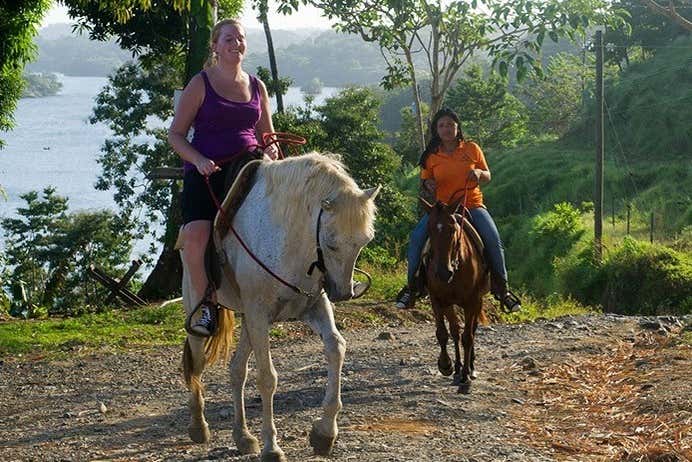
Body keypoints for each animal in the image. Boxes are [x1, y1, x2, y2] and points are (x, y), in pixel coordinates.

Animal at [180, 152, 379, 462]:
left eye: (364, 241)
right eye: (332, 244)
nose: (343, 292)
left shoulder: (312, 306)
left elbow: (336, 348)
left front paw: (324, 433)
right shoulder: (259, 314)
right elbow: (267, 378)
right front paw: (272, 447)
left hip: (249, 321)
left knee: (237, 370)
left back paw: (243, 436)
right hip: (207, 317)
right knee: (197, 366)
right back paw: (199, 426)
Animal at [422, 199, 489, 394]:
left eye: (452, 229)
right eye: (429, 230)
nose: (444, 273)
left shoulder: (472, 302)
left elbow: (468, 337)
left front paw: (466, 375)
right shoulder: (438, 300)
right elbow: (444, 333)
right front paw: (446, 365)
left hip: (477, 302)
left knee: (471, 331)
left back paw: (470, 368)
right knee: (455, 331)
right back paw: (458, 367)